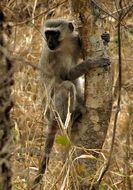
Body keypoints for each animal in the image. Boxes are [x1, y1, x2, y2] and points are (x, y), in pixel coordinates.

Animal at [31, 18, 110, 189]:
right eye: (48, 33)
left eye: (54, 34)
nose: (49, 41)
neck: (63, 46)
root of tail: (50, 118)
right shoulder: (52, 55)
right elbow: (66, 75)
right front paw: (92, 62)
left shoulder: (74, 42)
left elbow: (79, 53)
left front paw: (106, 37)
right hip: (52, 110)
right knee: (67, 86)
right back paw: (72, 117)